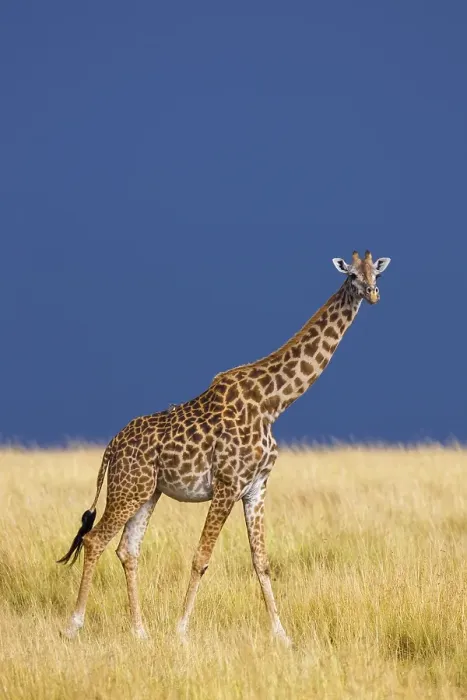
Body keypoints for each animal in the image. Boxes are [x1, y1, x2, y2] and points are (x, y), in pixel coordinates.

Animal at [58, 250, 391, 644]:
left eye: (376, 274)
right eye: (352, 275)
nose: (373, 294)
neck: (272, 403)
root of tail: (110, 448)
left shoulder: (256, 487)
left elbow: (261, 560)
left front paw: (282, 635)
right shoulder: (228, 484)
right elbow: (201, 558)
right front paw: (181, 632)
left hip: (148, 492)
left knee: (127, 549)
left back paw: (140, 632)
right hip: (128, 488)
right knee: (95, 540)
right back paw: (73, 626)